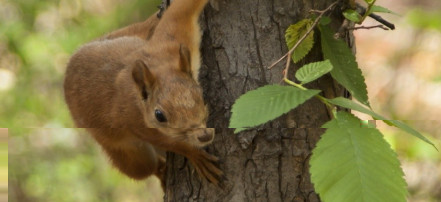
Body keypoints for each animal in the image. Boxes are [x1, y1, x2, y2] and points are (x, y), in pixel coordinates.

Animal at [63, 0, 222, 187]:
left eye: (201, 95)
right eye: (159, 116)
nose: (204, 136)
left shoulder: (172, 41)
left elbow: (181, 11)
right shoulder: (134, 121)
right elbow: (169, 142)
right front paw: (194, 154)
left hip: (130, 33)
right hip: (126, 153)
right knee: (146, 168)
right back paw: (161, 171)